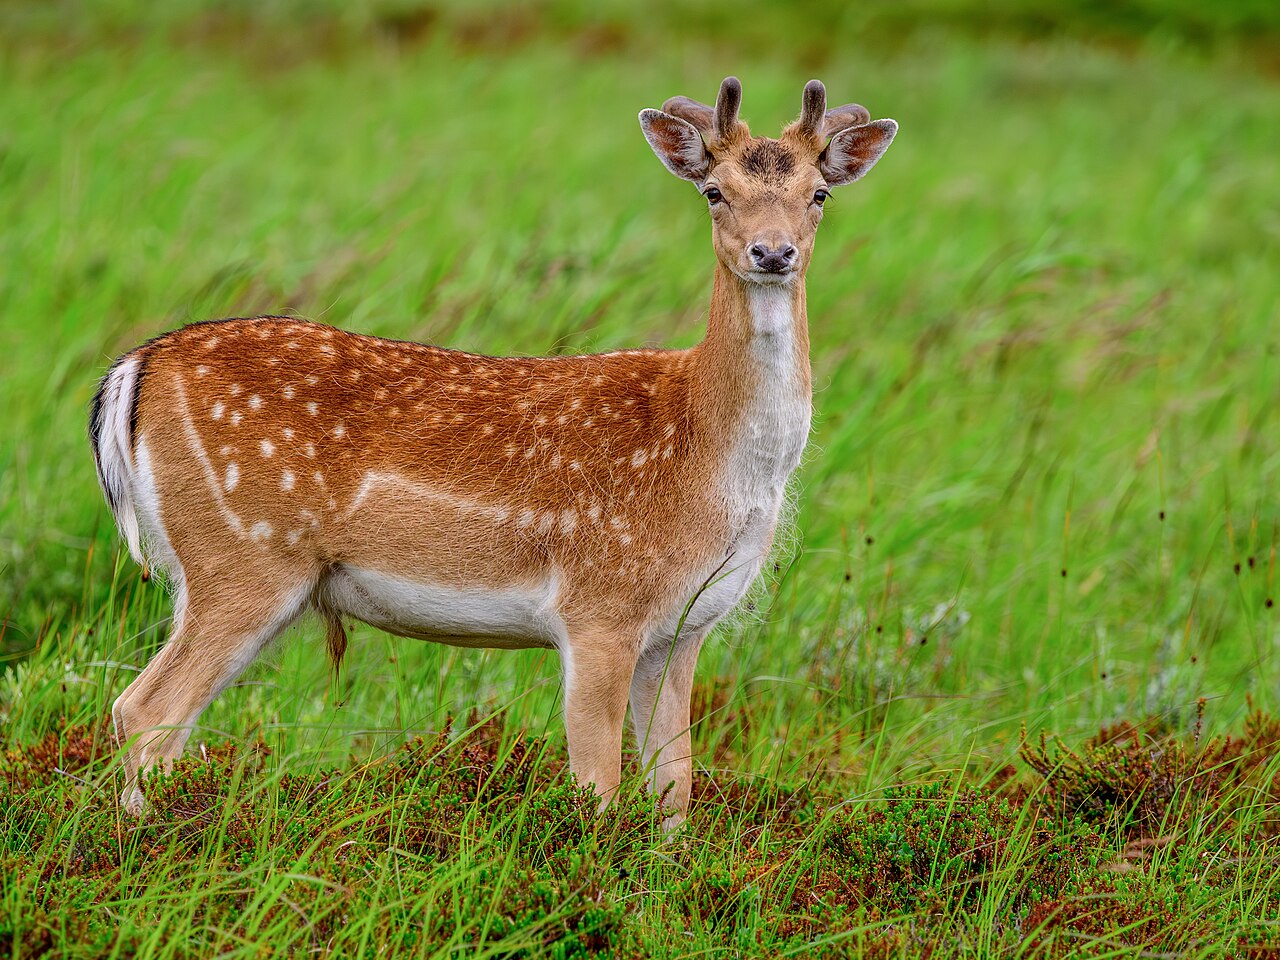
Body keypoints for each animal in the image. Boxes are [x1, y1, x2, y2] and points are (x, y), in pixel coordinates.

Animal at [90, 77, 897, 828]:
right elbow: (597, 785)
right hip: (243, 555)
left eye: (819, 192)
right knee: (142, 711)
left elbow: (675, 790)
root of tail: (135, 368)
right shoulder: (597, 606)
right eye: (713, 191)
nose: (773, 252)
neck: (708, 458)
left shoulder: (685, 626)